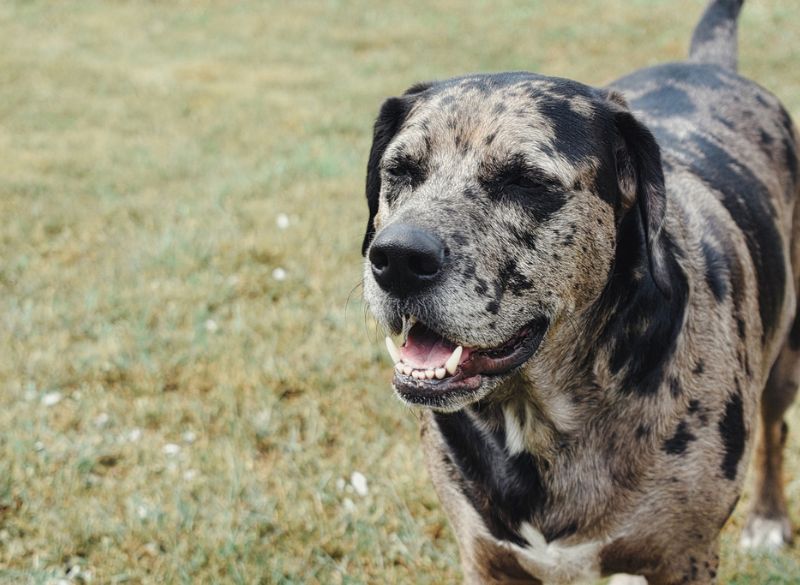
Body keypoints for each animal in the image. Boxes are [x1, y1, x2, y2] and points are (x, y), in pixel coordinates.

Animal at [360, 2, 796, 580]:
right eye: (401, 170)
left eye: (525, 181)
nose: (399, 259)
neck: (539, 418)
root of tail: (709, 65)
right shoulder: (486, 559)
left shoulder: (686, 558)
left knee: (776, 429)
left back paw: (768, 517)